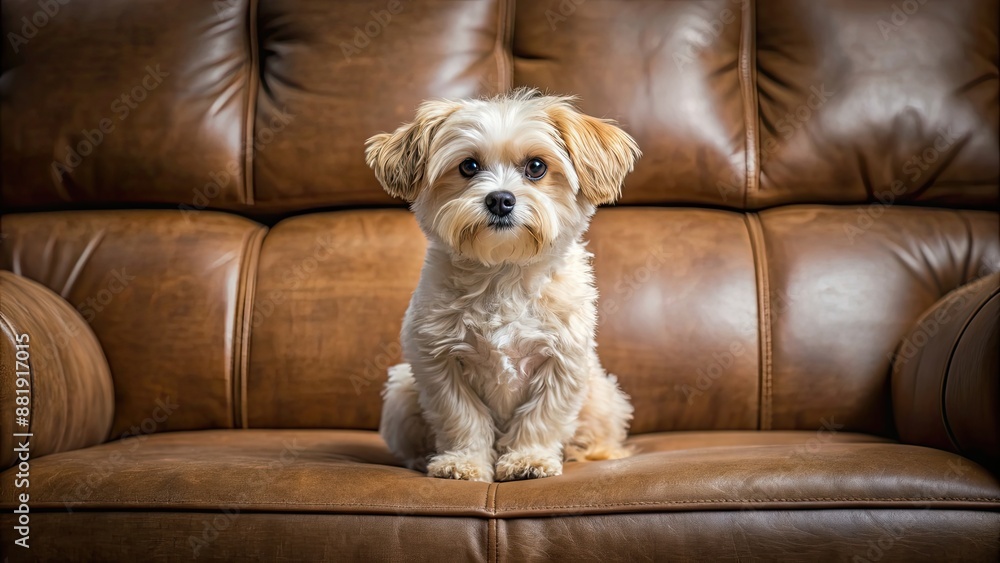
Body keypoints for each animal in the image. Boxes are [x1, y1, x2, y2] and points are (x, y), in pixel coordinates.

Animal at [368, 88, 640, 484]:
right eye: (468, 166)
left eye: (536, 167)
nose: (500, 198)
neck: (503, 273)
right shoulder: (438, 362)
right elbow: (462, 418)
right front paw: (463, 462)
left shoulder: (562, 362)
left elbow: (542, 417)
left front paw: (529, 458)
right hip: (402, 394)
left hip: (601, 395)